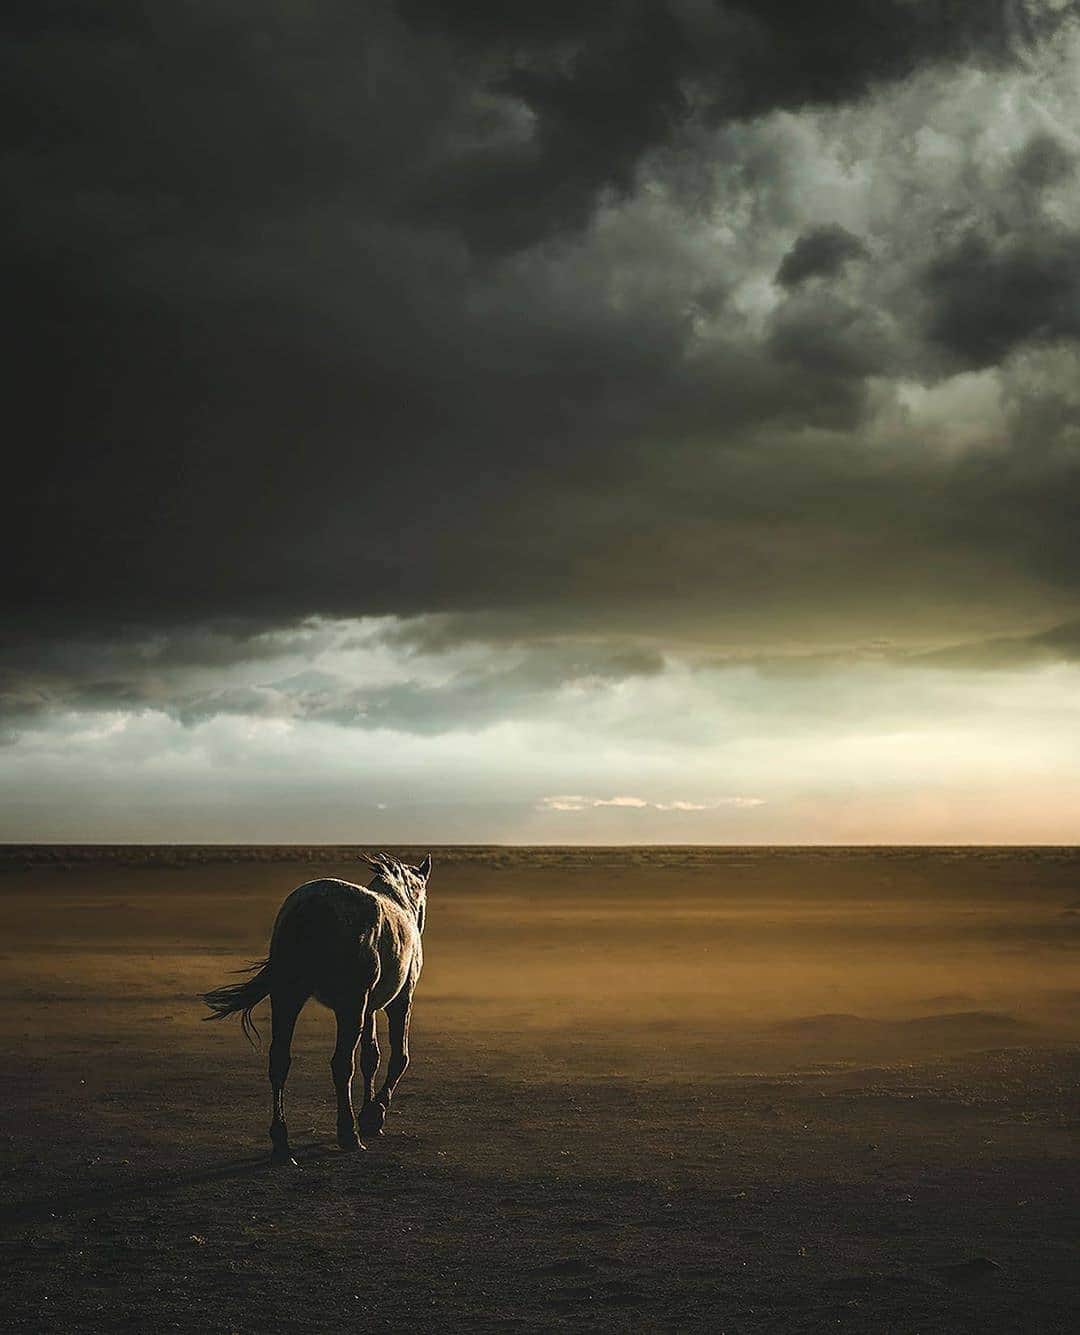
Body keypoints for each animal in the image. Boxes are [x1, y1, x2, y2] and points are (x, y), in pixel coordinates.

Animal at [202, 852, 431, 1165]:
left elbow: (371, 1058)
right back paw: (348, 1134)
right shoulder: (398, 1001)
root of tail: (309, 907)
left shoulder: (369, 1008)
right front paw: (373, 1115)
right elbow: (398, 1057)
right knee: (341, 1064)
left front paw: (369, 1112)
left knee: (279, 1061)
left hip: (287, 996)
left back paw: (282, 1143)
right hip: (348, 1005)